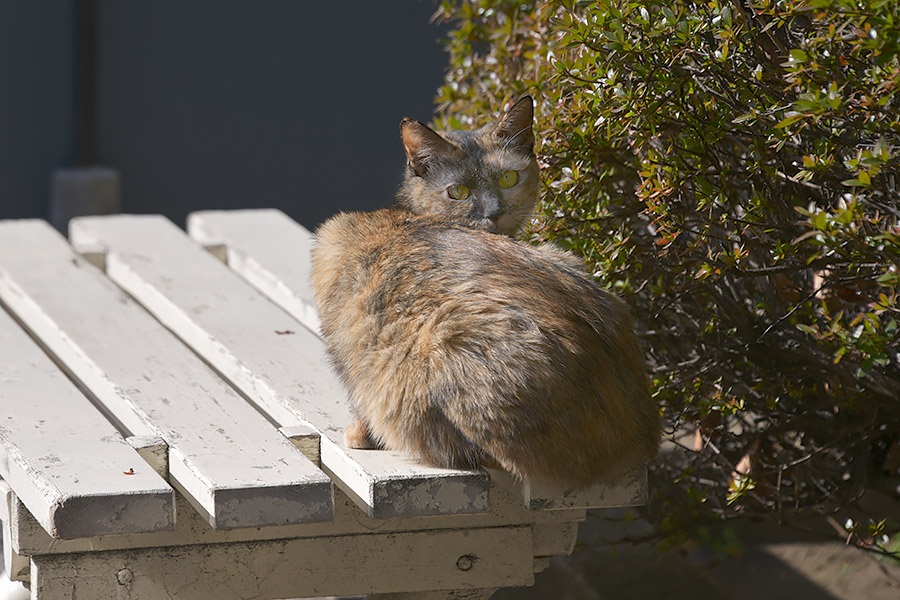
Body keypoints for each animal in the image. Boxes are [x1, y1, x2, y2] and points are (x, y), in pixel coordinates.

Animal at [312, 97, 660, 488]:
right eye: (458, 191)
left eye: (509, 178)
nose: (494, 212)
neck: (408, 215)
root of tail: (638, 438)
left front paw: (359, 434)